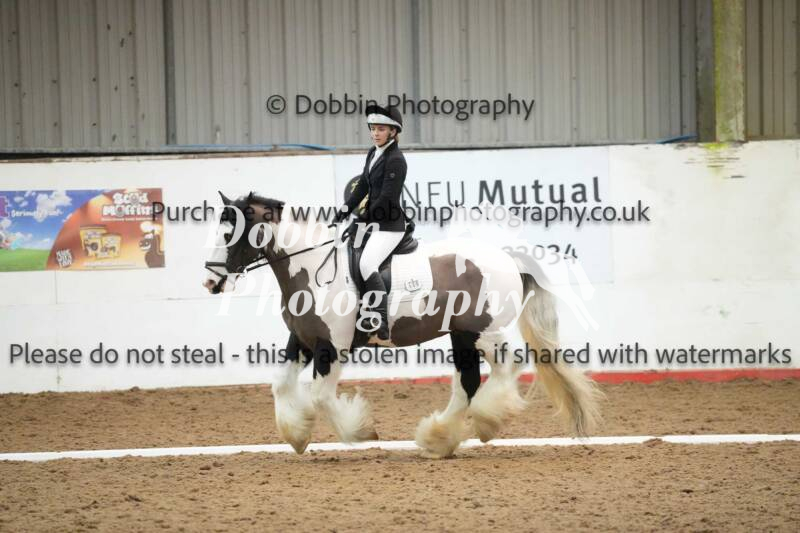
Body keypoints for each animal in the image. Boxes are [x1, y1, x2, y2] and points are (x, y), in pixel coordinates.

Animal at [203, 192, 601, 458]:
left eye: (228, 235)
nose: (210, 282)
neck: (313, 268)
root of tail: (506, 256)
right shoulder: (302, 339)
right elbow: (280, 384)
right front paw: (297, 435)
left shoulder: (333, 347)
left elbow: (319, 396)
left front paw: (360, 431)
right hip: (461, 334)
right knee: (467, 381)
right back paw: (439, 438)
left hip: (481, 331)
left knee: (507, 365)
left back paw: (485, 423)